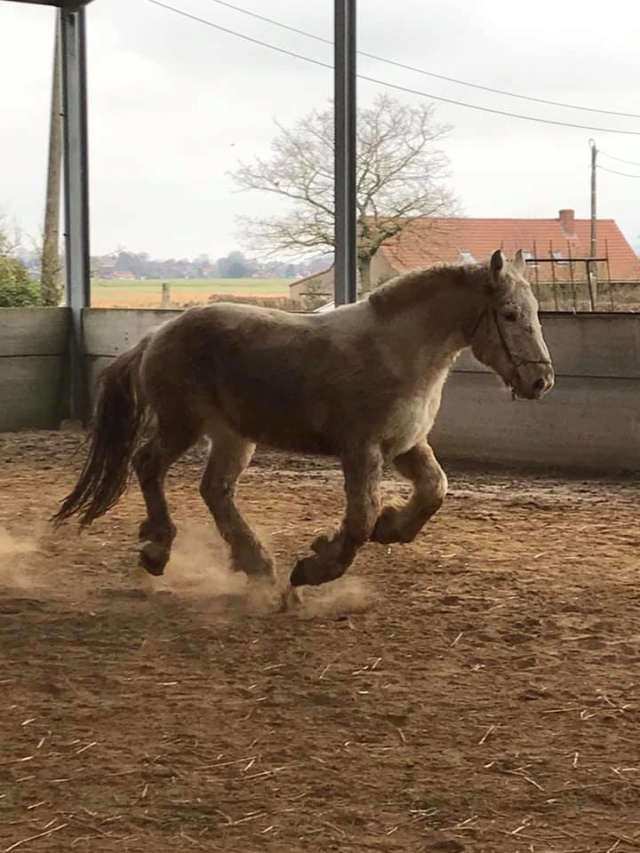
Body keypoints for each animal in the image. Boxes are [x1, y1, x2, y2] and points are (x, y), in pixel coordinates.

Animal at [52, 253, 552, 600]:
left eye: (534, 312)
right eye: (510, 314)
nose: (540, 380)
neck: (400, 351)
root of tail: (156, 335)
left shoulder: (408, 446)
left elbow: (434, 491)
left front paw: (391, 527)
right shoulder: (362, 450)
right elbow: (359, 520)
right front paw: (315, 567)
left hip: (234, 436)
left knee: (215, 489)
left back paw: (255, 563)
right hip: (182, 425)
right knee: (148, 465)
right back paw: (159, 550)